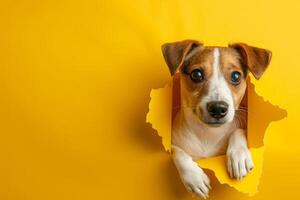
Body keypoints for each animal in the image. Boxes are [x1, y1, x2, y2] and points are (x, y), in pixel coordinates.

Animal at [162, 39, 272, 198]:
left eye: (236, 76)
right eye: (197, 74)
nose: (218, 108)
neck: (208, 134)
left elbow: (239, 131)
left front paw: (239, 156)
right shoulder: (175, 143)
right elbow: (176, 152)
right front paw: (194, 178)